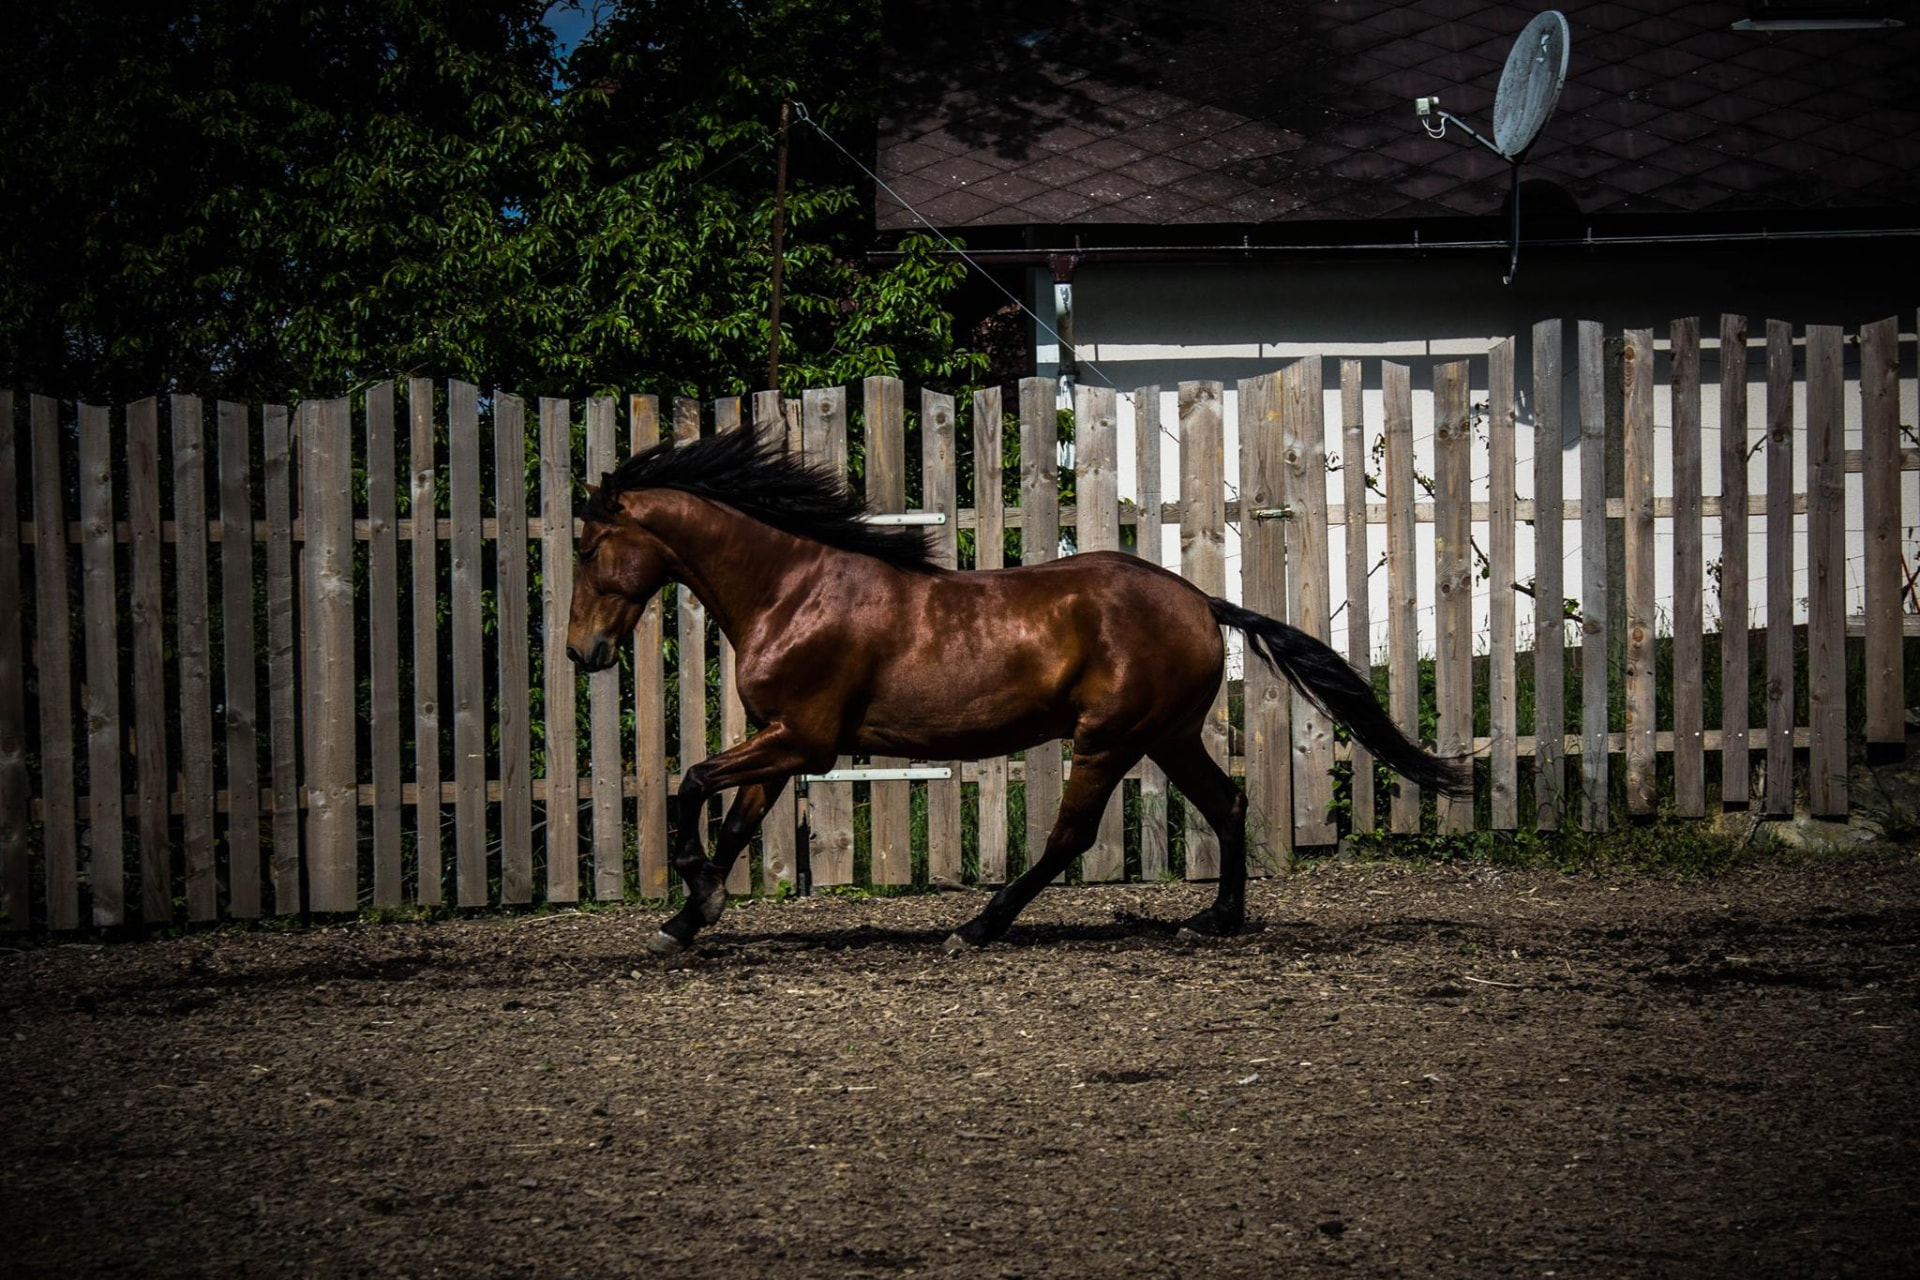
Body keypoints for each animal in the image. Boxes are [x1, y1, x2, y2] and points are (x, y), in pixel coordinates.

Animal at [566, 423, 1469, 957]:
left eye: (588, 546)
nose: (583, 652)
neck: (793, 590)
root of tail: (1199, 600)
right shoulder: (780, 739)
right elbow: (737, 824)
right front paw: (688, 918)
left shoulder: (805, 739)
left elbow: (691, 785)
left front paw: (689, 887)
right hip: (1167, 736)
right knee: (1228, 803)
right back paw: (1215, 919)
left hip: (1109, 738)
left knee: (1070, 837)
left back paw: (976, 926)